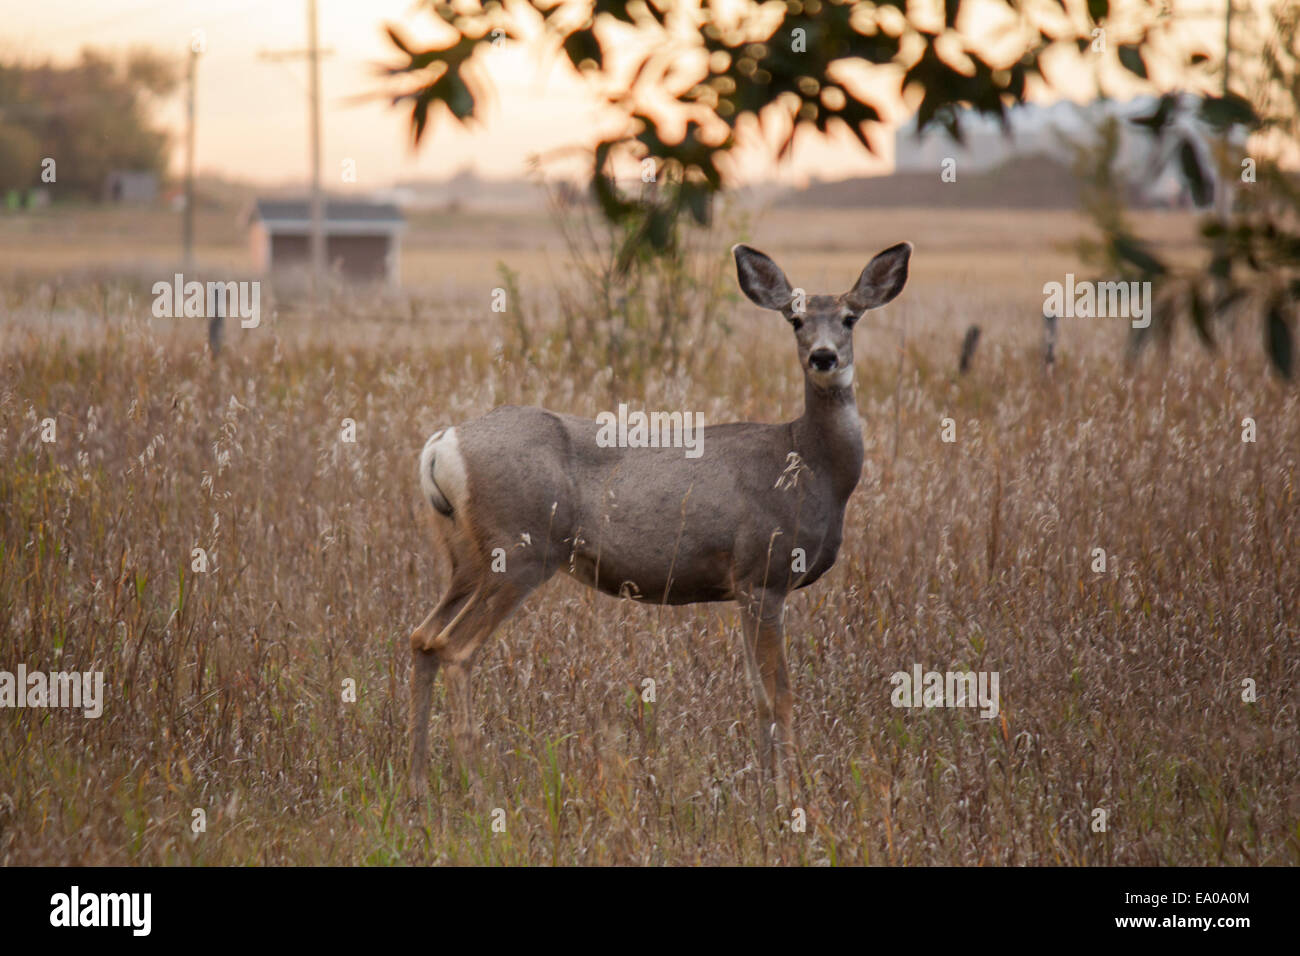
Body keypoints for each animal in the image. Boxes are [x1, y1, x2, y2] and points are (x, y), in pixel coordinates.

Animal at [408, 238, 915, 801]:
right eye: (796, 319)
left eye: (850, 318)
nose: (823, 356)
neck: (809, 464)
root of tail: (442, 444)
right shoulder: (763, 572)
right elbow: (778, 694)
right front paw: (790, 795)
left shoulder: (743, 587)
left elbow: (756, 693)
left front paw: (765, 789)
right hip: (519, 550)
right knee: (454, 647)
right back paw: (476, 786)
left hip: (465, 556)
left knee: (421, 636)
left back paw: (417, 780)